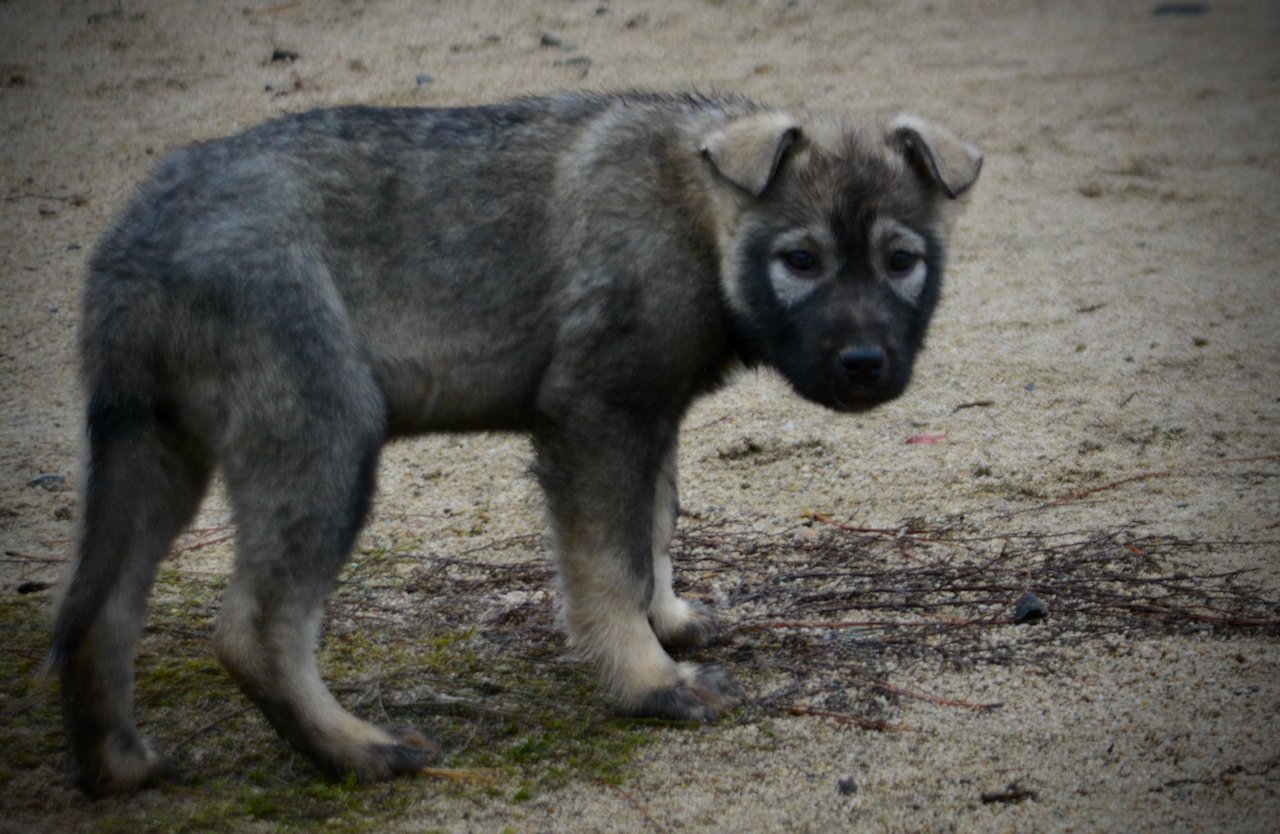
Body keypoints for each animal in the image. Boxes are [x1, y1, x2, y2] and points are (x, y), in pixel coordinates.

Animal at [47, 91, 977, 793]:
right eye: (801, 260)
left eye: (901, 260)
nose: (864, 365)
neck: (698, 211)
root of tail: (137, 240)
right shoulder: (597, 413)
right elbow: (610, 563)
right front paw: (649, 683)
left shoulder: (648, 417)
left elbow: (654, 530)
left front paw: (667, 623)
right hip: (323, 436)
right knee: (255, 629)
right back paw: (359, 752)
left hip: (150, 447)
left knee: (100, 611)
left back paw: (120, 767)